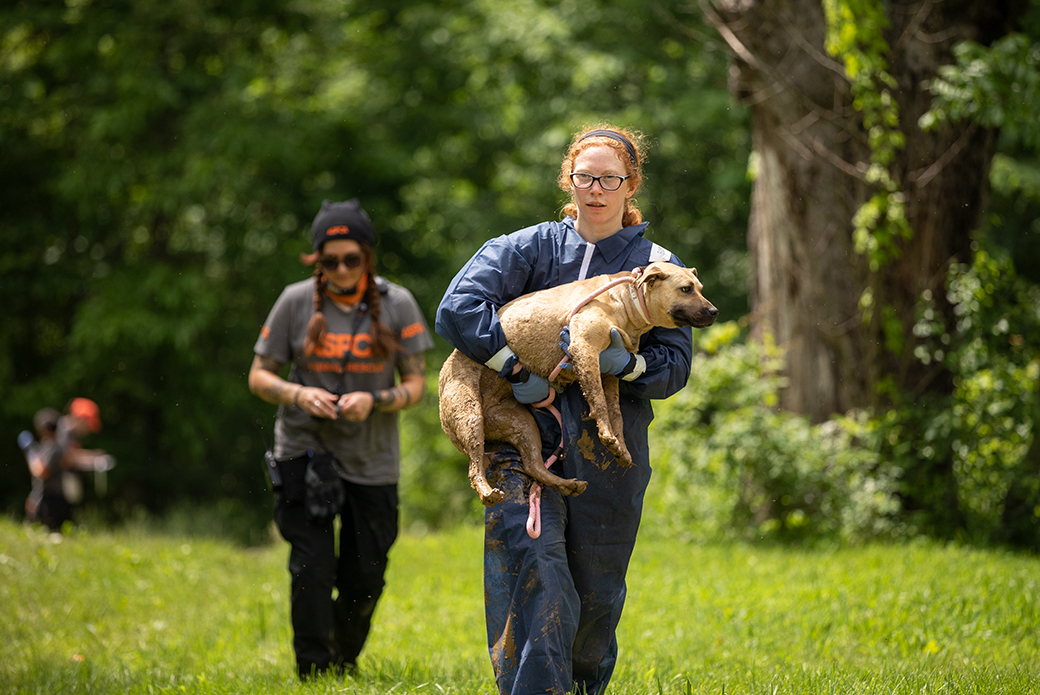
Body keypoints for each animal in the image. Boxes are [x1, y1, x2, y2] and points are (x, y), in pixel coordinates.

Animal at [436, 260, 715, 505]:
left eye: (701, 288)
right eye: (686, 289)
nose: (715, 311)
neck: (627, 300)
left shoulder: (611, 371)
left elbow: (616, 414)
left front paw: (621, 448)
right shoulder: (584, 348)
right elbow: (599, 404)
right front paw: (607, 436)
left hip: (521, 424)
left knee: (534, 466)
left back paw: (568, 485)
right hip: (470, 418)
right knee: (475, 469)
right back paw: (488, 493)